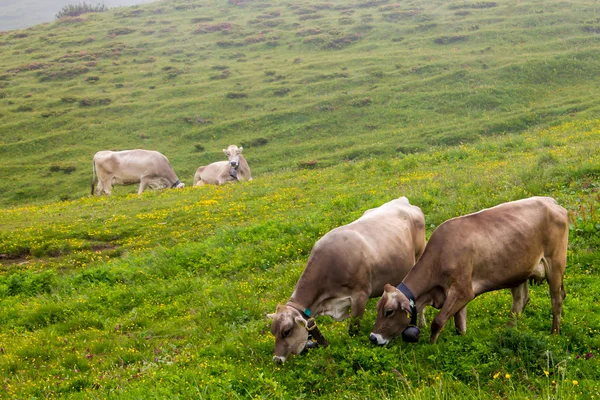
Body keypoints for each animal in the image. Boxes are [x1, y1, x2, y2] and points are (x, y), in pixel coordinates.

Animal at [268, 195, 426, 364]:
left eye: (286, 331)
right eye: (272, 331)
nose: (277, 359)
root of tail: (402, 200)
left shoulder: (360, 295)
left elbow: (353, 329)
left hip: (420, 255)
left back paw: (422, 322)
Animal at [368, 195, 568, 346]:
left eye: (389, 311)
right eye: (377, 308)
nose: (373, 337)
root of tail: (551, 201)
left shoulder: (463, 290)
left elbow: (438, 321)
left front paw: (431, 346)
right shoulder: (457, 295)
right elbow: (459, 324)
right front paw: (462, 340)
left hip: (556, 264)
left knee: (556, 300)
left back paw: (554, 333)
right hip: (518, 271)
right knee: (520, 301)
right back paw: (509, 331)